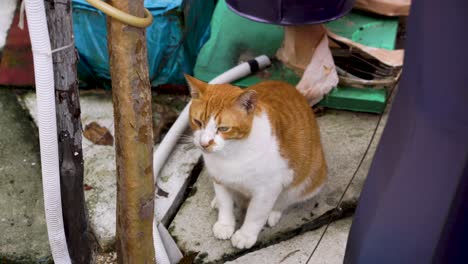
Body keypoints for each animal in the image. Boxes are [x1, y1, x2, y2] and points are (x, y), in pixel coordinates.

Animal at [185, 75, 328, 250]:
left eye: (223, 128)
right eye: (198, 122)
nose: (204, 143)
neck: (231, 154)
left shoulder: (267, 189)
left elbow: (255, 214)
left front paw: (246, 235)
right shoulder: (219, 179)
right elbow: (225, 203)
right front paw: (225, 224)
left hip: (309, 180)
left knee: (287, 199)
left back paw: (274, 212)